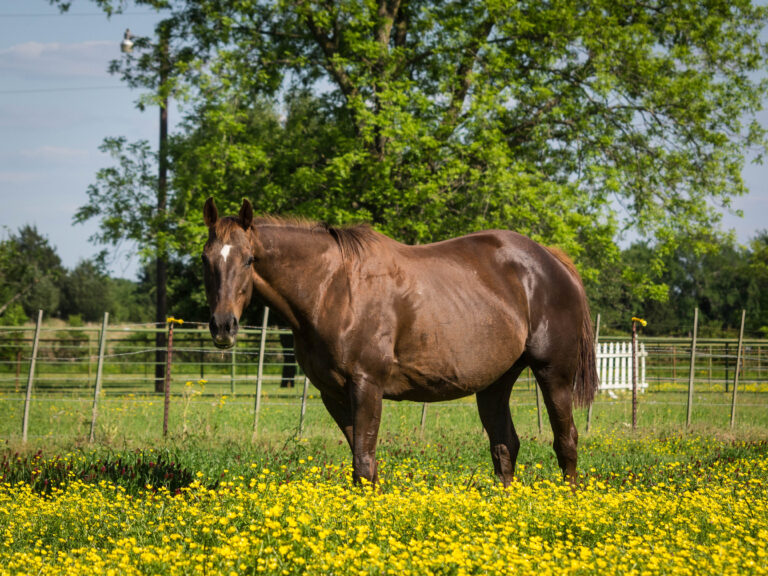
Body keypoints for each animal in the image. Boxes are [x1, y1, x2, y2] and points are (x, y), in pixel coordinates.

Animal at [201, 197, 598, 486]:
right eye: (205, 260)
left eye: (249, 259)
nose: (223, 327)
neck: (332, 289)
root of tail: (552, 260)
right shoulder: (334, 394)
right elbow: (363, 463)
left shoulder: (366, 385)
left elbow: (363, 461)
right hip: (495, 384)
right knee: (505, 446)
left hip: (553, 375)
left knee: (566, 442)